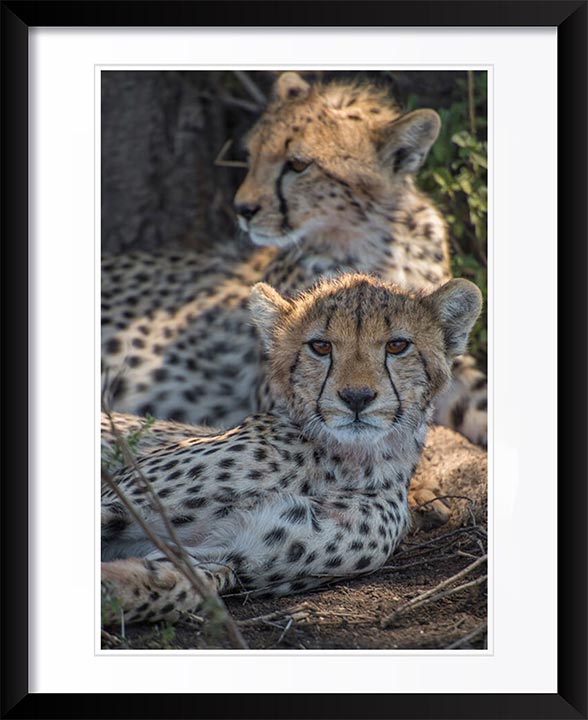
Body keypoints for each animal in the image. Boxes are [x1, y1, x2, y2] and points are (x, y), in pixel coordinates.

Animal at [101, 272, 482, 625]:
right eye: (321, 346)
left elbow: (187, 585)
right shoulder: (117, 496)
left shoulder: (230, 555)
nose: (356, 397)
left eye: (397, 346)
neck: (339, 463)